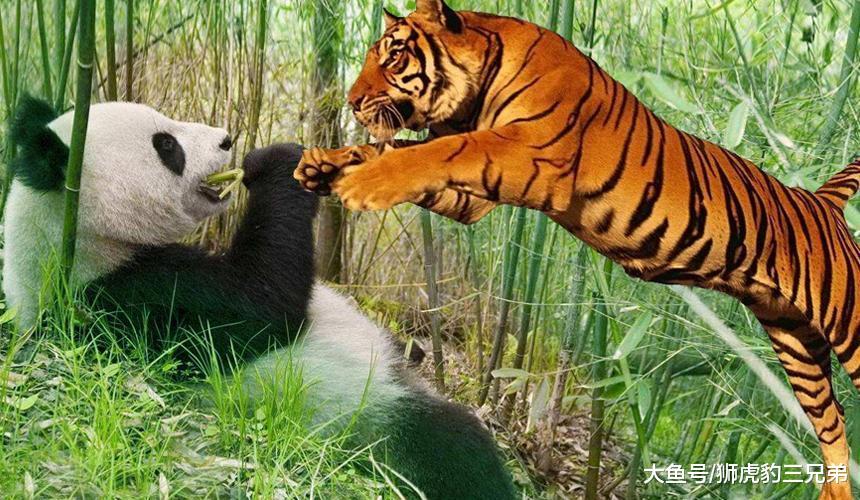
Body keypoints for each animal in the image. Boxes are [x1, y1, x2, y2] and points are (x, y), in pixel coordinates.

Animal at [293, 1, 860, 497]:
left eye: (393, 57)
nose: (350, 101)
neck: (480, 88)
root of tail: (823, 203)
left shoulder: (524, 149)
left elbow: (440, 148)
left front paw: (365, 182)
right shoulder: (473, 199)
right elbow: (397, 148)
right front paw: (323, 163)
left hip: (849, 328)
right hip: (797, 348)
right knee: (832, 431)